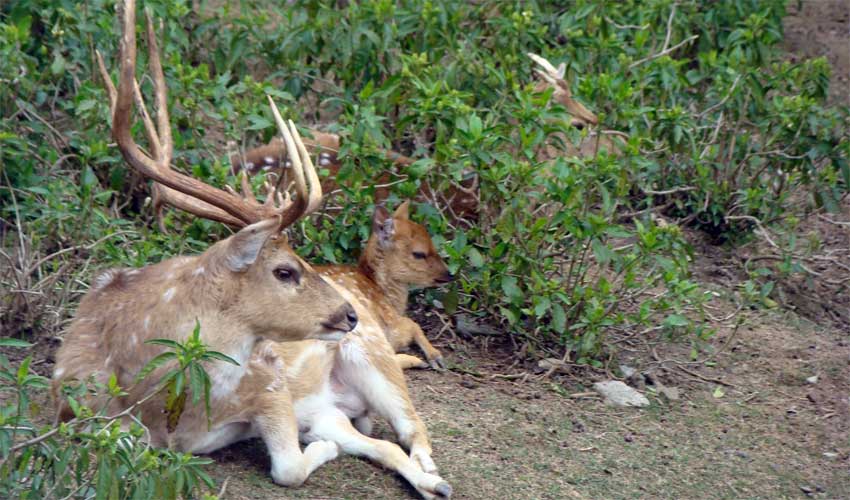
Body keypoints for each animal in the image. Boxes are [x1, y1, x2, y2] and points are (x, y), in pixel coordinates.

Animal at [52, 0, 358, 484]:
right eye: (285, 270)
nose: (350, 314)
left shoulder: (267, 377)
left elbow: (288, 466)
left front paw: (323, 443)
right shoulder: (70, 402)